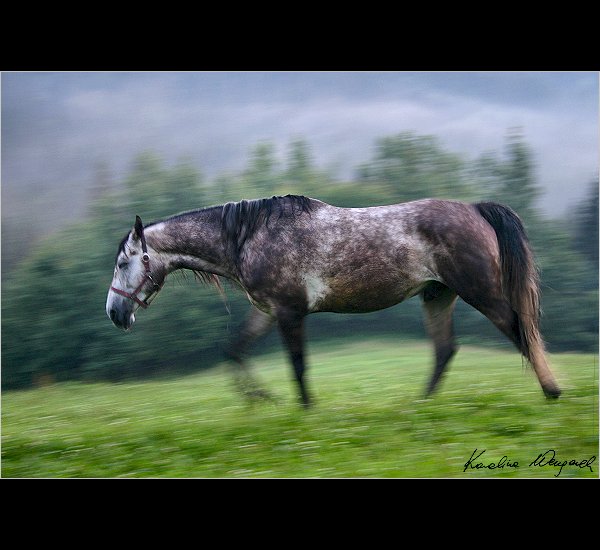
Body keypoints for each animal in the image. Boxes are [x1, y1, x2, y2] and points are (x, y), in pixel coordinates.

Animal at [105, 196, 560, 408]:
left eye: (125, 262)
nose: (115, 313)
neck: (249, 237)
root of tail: (474, 210)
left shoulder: (290, 313)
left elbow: (298, 366)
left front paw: (305, 411)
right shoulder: (268, 311)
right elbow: (234, 350)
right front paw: (260, 400)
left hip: (480, 292)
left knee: (522, 331)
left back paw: (552, 391)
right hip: (437, 296)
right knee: (445, 350)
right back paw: (418, 406)